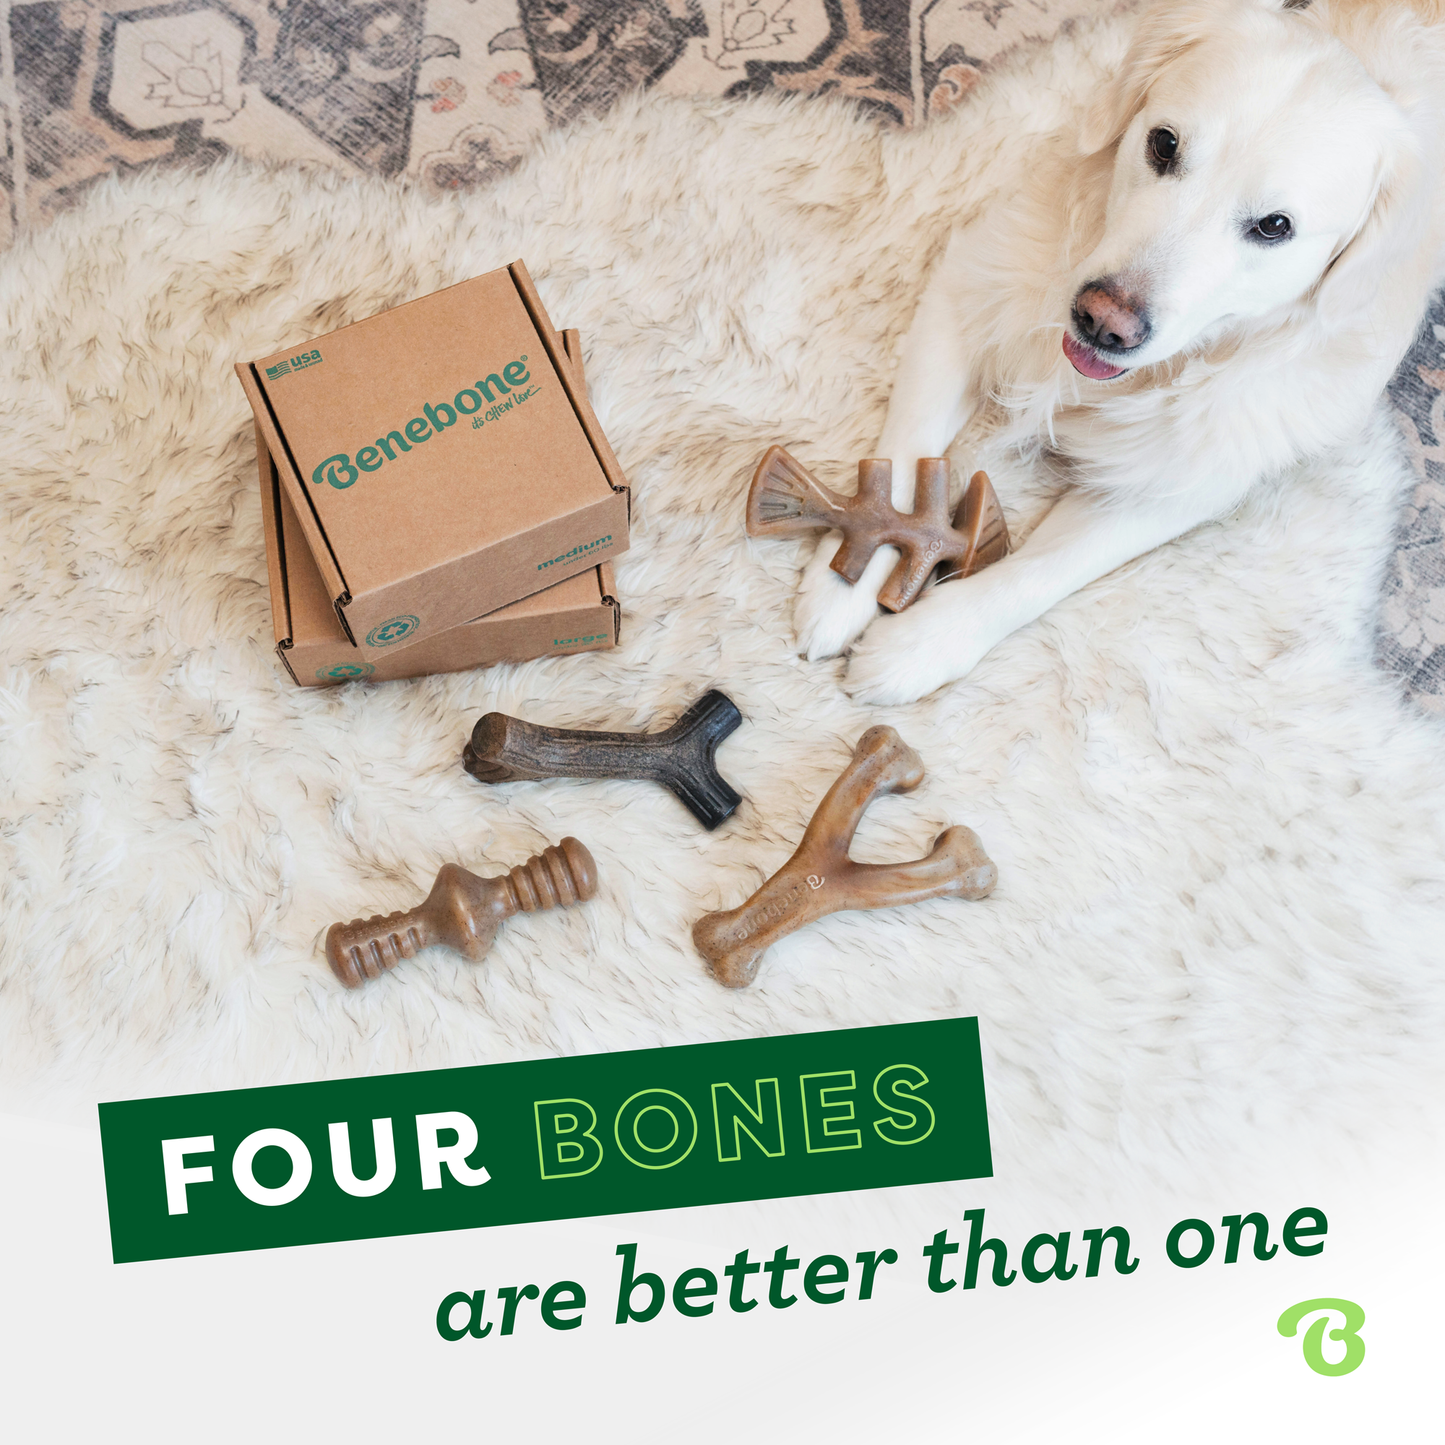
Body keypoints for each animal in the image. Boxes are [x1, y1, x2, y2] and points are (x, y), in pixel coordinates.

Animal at [803, 0, 1445, 705]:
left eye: (1275, 227)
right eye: (1164, 144)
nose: (1102, 322)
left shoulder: (1178, 482)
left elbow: (1041, 573)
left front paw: (923, 645)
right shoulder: (963, 296)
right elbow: (904, 460)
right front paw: (844, 578)